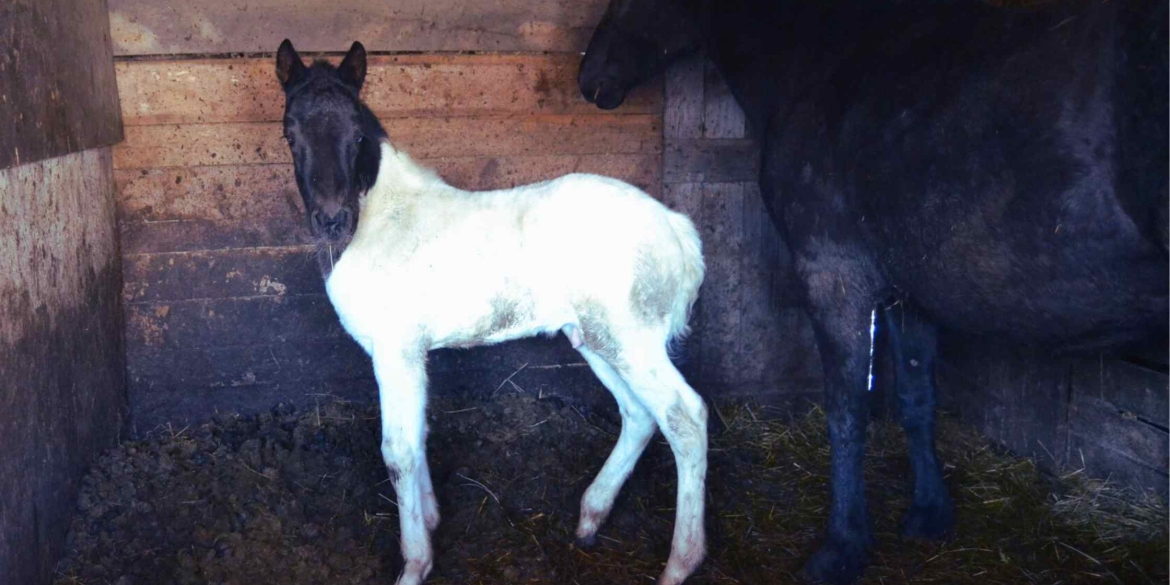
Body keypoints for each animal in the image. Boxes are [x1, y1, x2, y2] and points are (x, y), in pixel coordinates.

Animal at [277, 41, 706, 585]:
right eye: (290, 133)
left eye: (356, 133)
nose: (332, 220)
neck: (382, 221)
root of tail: (675, 226)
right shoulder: (413, 355)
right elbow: (419, 436)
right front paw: (432, 520)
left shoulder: (396, 351)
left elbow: (398, 453)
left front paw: (415, 563)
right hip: (596, 338)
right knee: (639, 415)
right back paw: (590, 517)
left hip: (632, 340)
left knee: (685, 418)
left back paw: (679, 563)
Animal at [580, 0, 1165, 582]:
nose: (590, 78)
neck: (817, 64)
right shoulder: (911, 295)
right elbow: (916, 399)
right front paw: (929, 511)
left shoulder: (834, 282)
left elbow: (846, 414)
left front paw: (841, 547)